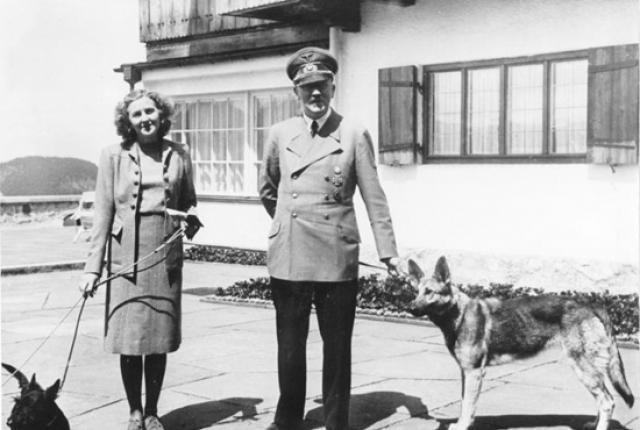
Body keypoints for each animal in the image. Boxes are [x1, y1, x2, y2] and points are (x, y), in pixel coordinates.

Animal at [404, 256, 636, 428]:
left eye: (430, 292)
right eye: (416, 292)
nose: (411, 308)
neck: (458, 314)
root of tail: (591, 305)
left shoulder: (474, 372)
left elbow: (468, 406)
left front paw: (461, 426)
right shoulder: (466, 372)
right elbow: (464, 403)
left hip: (583, 369)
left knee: (607, 401)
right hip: (590, 372)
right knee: (604, 400)